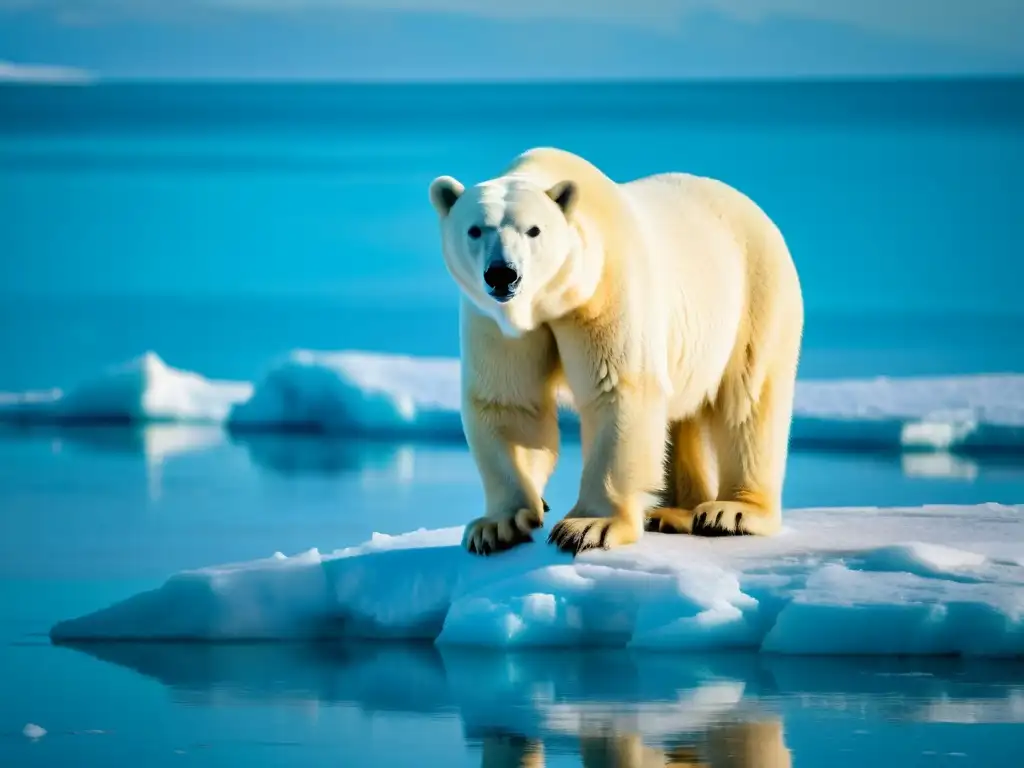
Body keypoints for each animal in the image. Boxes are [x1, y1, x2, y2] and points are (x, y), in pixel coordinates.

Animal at [428, 147, 802, 557]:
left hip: (755, 294)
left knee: (749, 398)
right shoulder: (495, 321)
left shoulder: (606, 289)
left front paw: (588, 526)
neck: (552, 299)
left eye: (534, 230)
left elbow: (618, 389)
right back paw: (672, 512)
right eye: (475, 229)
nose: (502, 274)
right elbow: (510, 402)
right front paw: (498, 525)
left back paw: (731, 511)